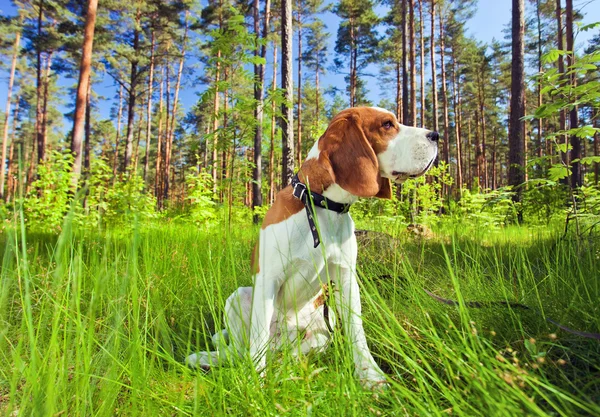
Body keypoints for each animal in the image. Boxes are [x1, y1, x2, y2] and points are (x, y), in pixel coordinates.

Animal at [185, 106, 438, 386]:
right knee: (240, 351)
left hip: (322, 328)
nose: (436, 135)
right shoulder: (268, 279)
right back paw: (206, 359)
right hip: (240, 295)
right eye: (387, 124)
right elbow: (257, 339)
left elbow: (357, 331)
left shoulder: (346, 277)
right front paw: (255, 385)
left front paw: (370, 377)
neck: (321, 205)